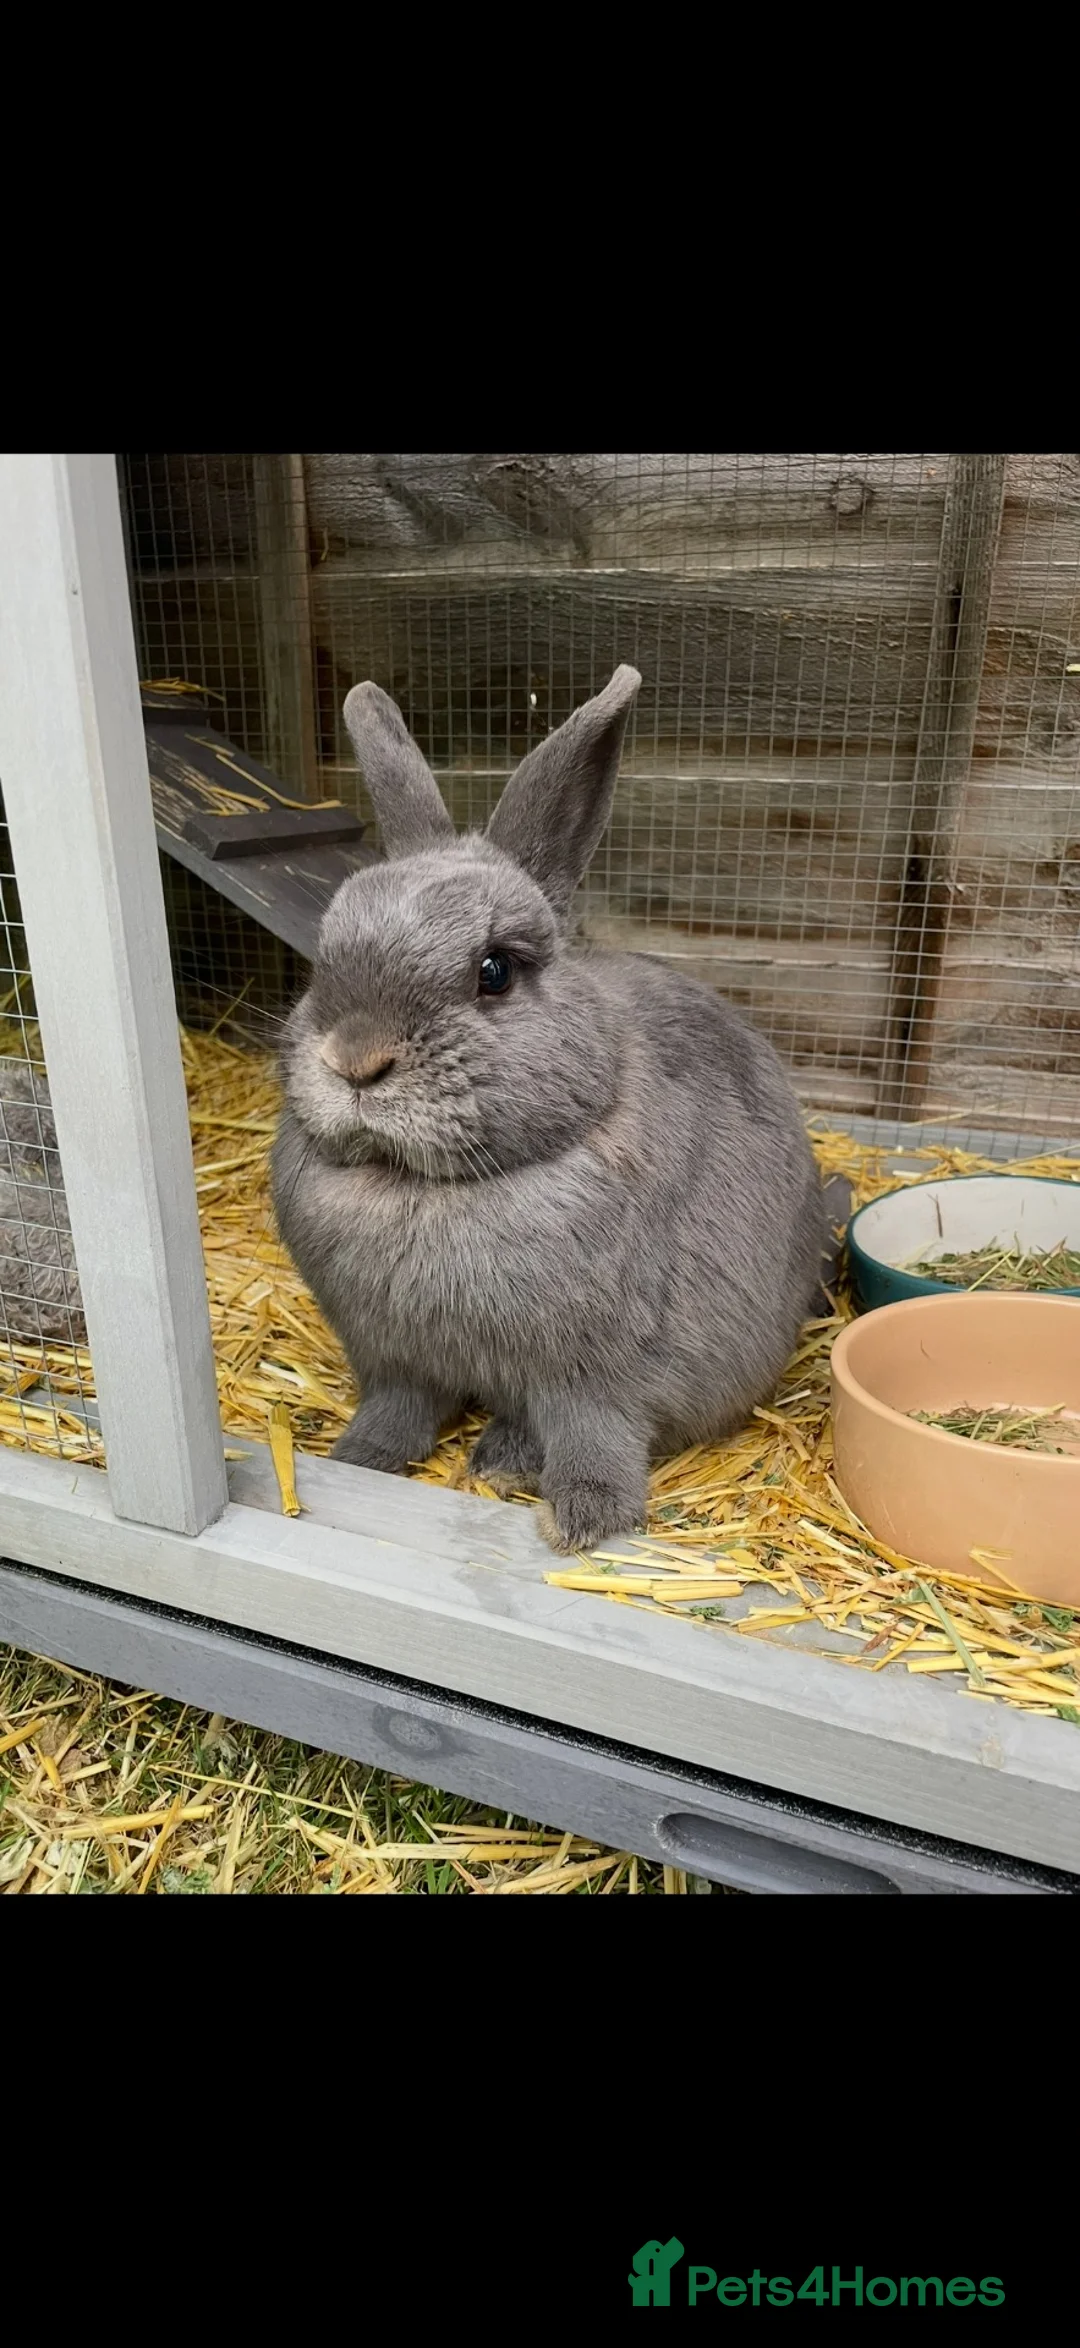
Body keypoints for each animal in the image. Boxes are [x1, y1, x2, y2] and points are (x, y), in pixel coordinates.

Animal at [271, 667, 828, 1555]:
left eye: (494, 971)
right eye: (324, 963)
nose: (355, 1059)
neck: (423, 1188)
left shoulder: (594, 1377)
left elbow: (590, 1436)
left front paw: (585, 1522)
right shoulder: (394, 1361)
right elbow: (397, 1413)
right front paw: (358, 1459)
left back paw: (503, 1463)